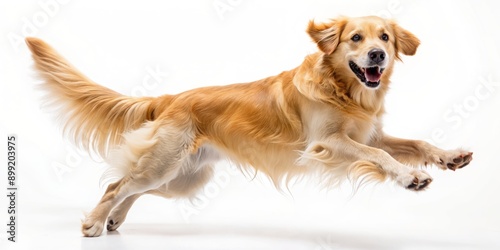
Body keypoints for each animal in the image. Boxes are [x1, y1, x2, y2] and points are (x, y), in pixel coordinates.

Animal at [26, 15, 472, 236]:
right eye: (356, 38)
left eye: (385, 37)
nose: (378, 55)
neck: (344, 91)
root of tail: (170, 98)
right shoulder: (326, 144)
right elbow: (377, 155)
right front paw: (410, 178)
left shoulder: (371, 132)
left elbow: (413, 143)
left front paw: (449, 156)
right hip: (165, 163)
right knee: (117, 185)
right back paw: (93, 223)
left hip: (182, 178)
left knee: (132, 188)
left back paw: (115, 219)